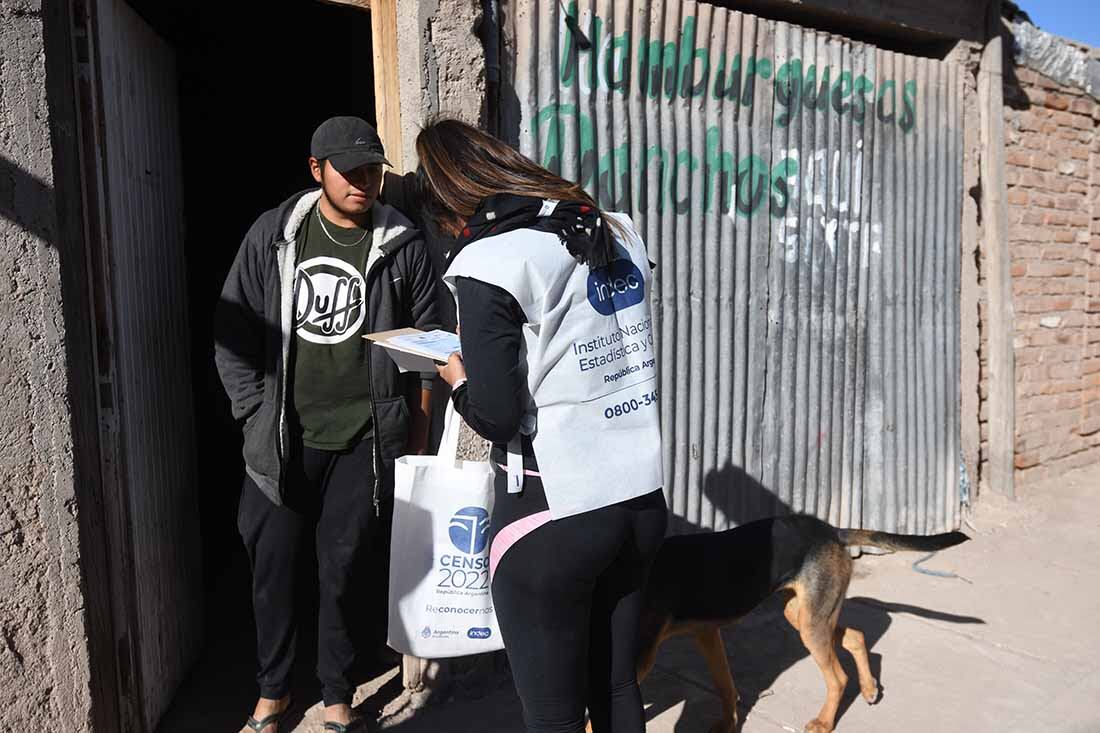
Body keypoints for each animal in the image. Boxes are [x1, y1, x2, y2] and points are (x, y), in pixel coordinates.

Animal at [633, 512, 968, 730]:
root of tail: (833, 531)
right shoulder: (706, 632)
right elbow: (725, 685)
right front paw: (726, 724)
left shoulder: (640, 661)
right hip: (804, 615)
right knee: (855, 636)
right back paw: (869, 688)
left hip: (811, 623)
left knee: (838, 678)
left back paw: (824, 722)